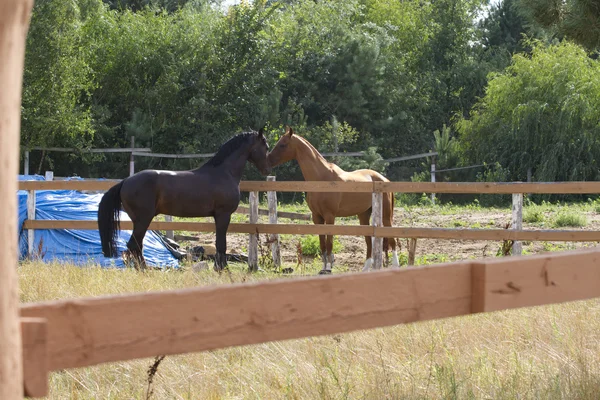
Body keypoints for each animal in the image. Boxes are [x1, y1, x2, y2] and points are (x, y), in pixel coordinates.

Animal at [98, 131, 270, 272]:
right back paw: (144, 270)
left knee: (136, 245)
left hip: (139, 221)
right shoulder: (223, 215)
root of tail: (125, 181)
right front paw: (223, 269)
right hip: (143, 220)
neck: (223, 172)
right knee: (134, 245)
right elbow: (222, 243)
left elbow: (219, 243)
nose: (267, 170)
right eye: (266, 146)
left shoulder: (218, 216)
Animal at [268, 126, 398, 274]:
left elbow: (329, 243)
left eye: (283, 144)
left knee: (392, 239)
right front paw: (324, 268)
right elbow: (322, 244)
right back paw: (365, 268)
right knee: (369, 241)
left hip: (386, 216)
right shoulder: (317, 217)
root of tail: (384, 179)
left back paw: (395, 266)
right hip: (364, 216)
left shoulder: (330, 216)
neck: (321, 179)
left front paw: (329, 268)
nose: (268, 159)